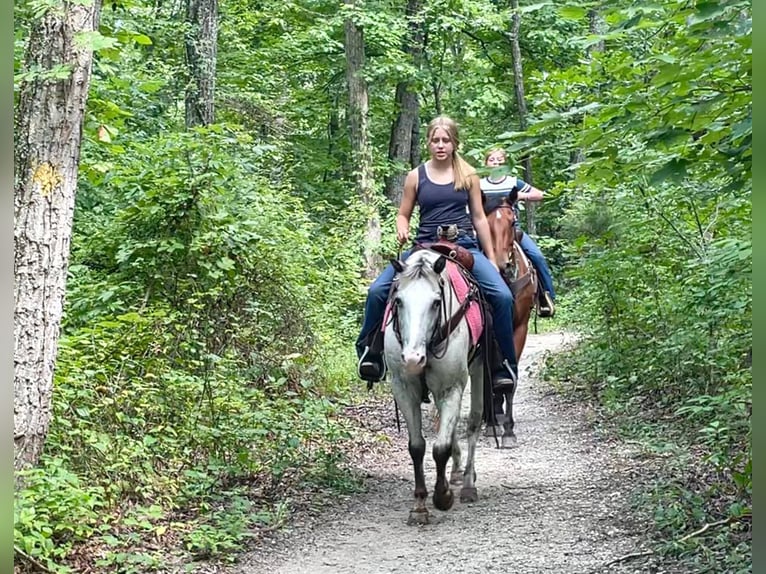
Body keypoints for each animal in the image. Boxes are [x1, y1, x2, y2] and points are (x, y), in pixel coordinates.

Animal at [384, 249, 486, 528]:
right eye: (398, 301)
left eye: (436, 303)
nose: (412, 359)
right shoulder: (403, 388)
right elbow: (417, 446)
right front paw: (419, 506)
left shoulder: (451, 387)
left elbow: (440, 448)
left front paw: (442, 497)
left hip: (479, 370)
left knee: (473, 422)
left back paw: (468, 484)